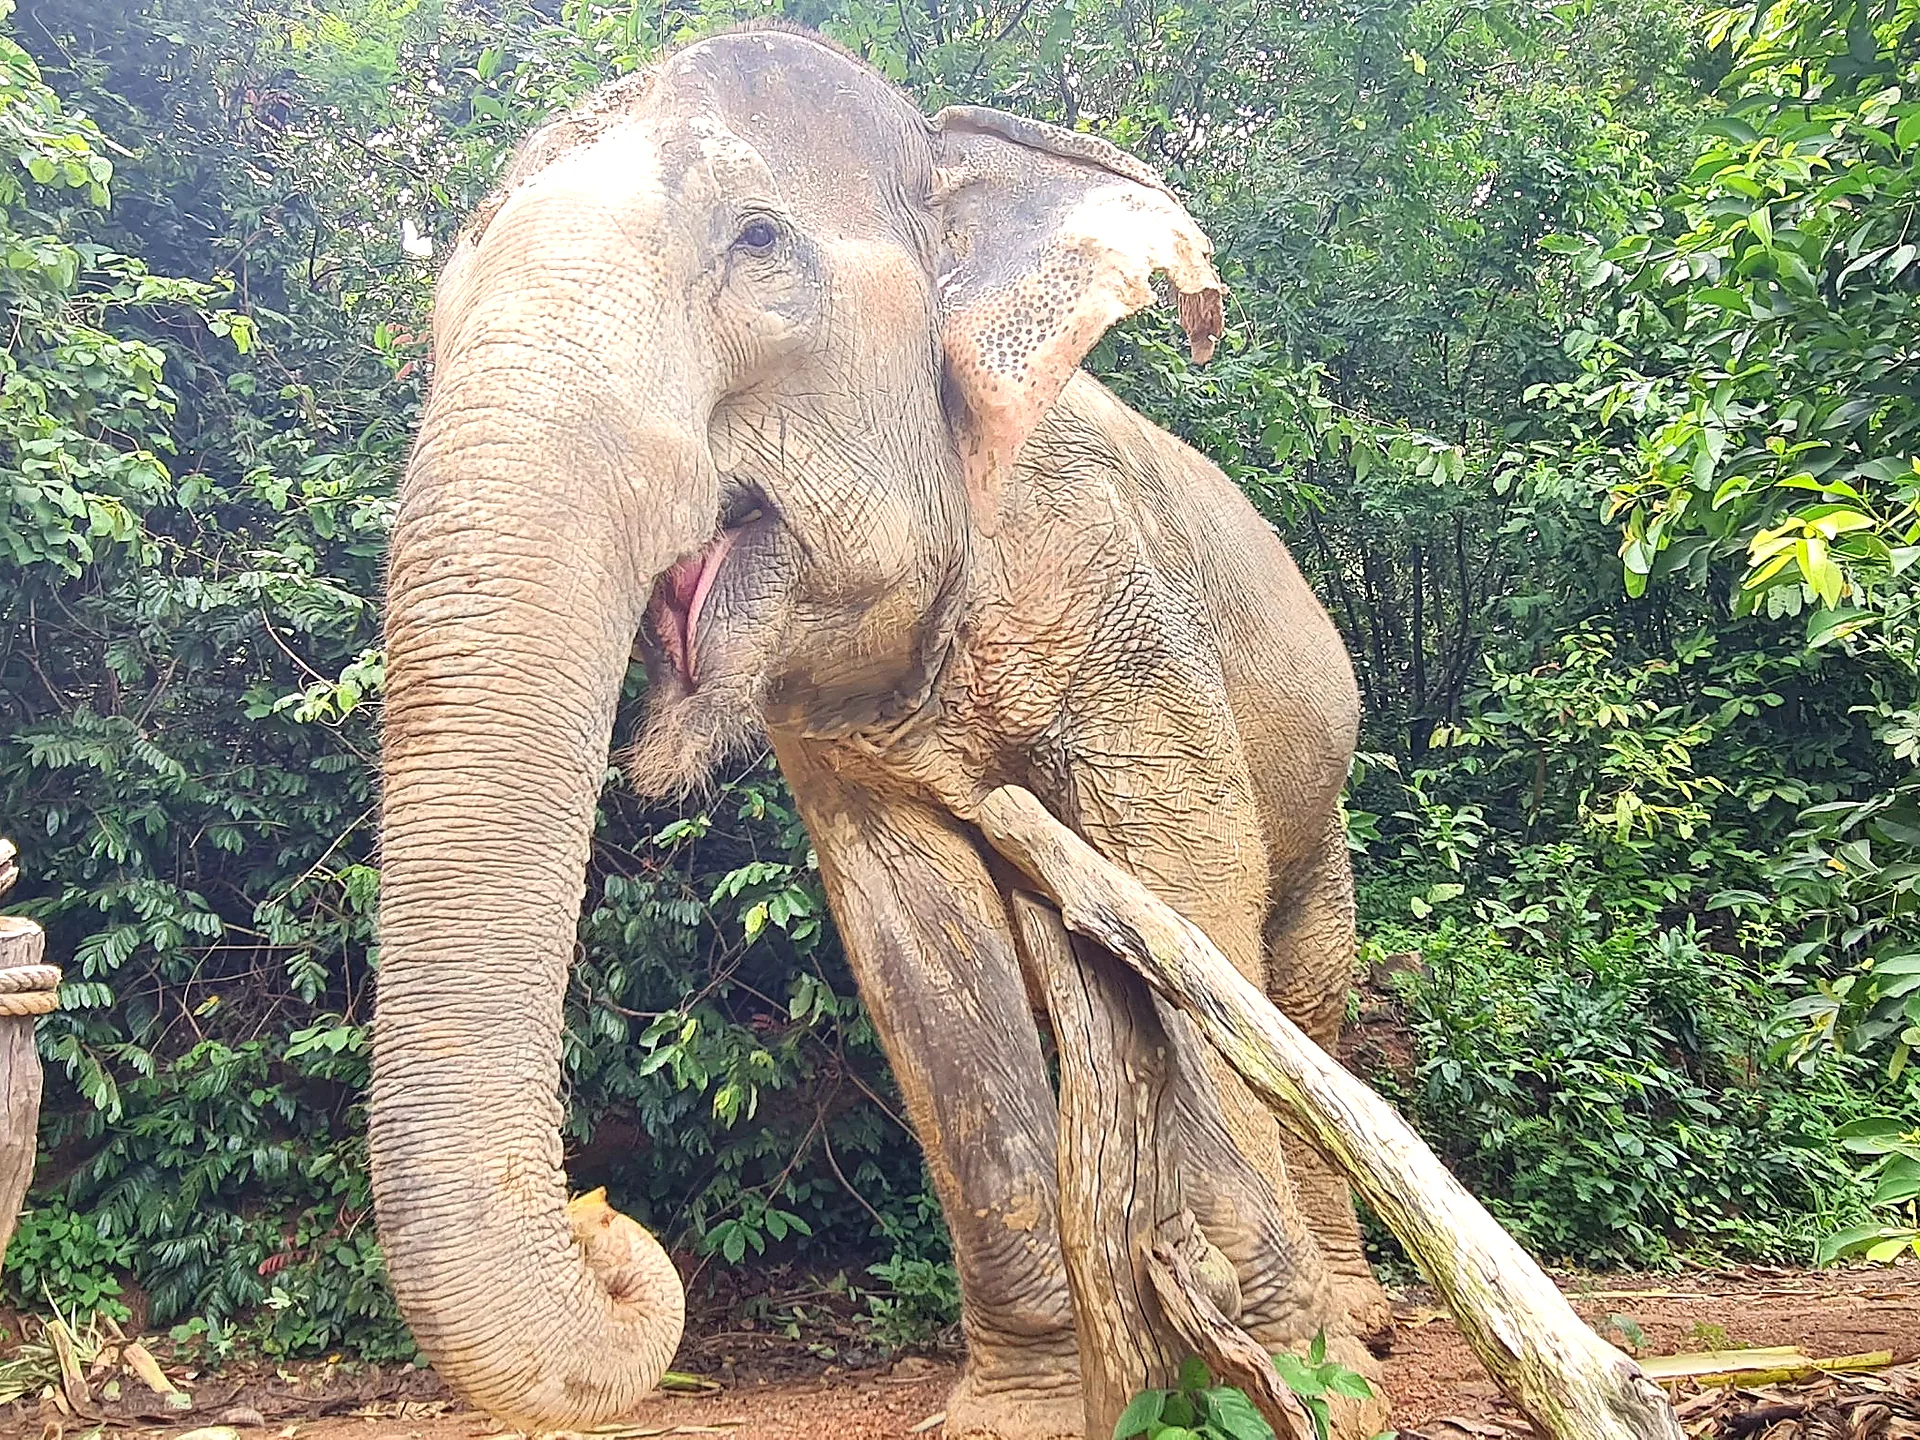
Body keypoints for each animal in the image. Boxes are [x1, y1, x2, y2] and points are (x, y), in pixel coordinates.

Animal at [371, 22, 1392, 1440]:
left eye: (758, 241)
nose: (605, 1226)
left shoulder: (1121, 601)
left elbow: (1189, 886)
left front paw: (1305, 1378)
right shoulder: (841, 738)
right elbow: (915, 949)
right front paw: (1020, 1407)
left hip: (1328, 788)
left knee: (1304, 984)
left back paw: (1369, 1320)